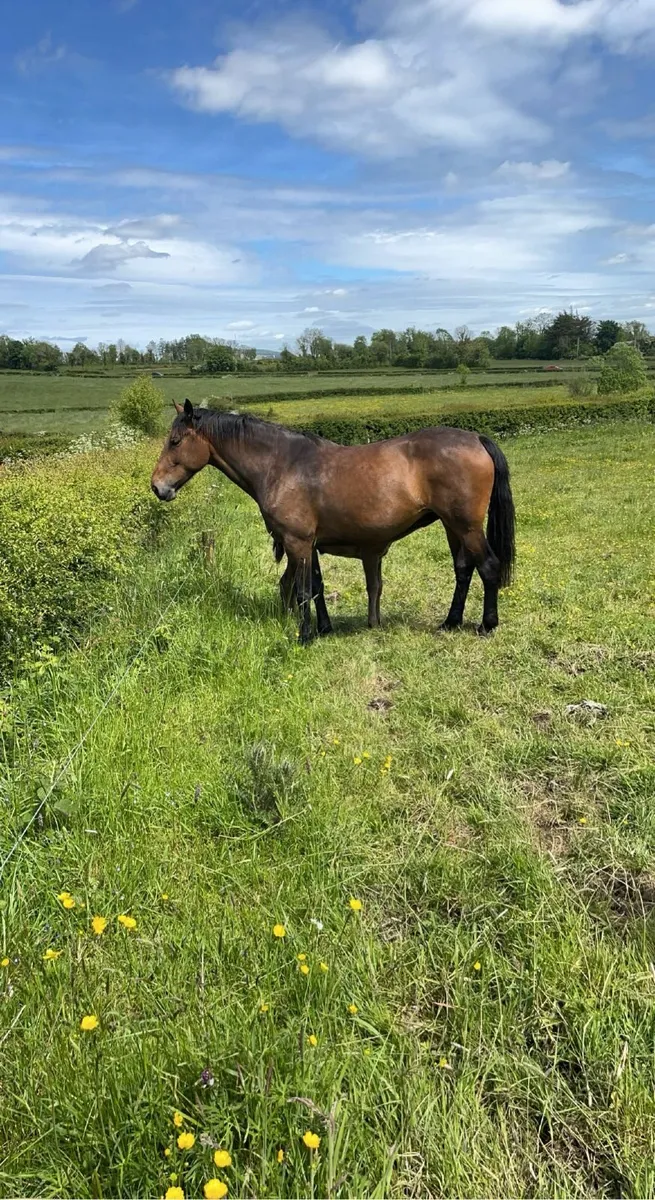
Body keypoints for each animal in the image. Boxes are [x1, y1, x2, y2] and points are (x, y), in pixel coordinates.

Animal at [151, 400, 516, 644]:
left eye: (175, 441)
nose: (157, 486)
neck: (282, 464)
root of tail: (476, 438)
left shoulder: (297, 542)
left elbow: (302, 590)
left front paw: (304, 636)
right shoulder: (308, 544)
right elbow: (316, 586)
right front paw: (323, 629)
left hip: (466, 526)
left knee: (488, 567)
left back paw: (487, 624)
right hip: (452, 526)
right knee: (463, 570)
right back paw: (450, 622)